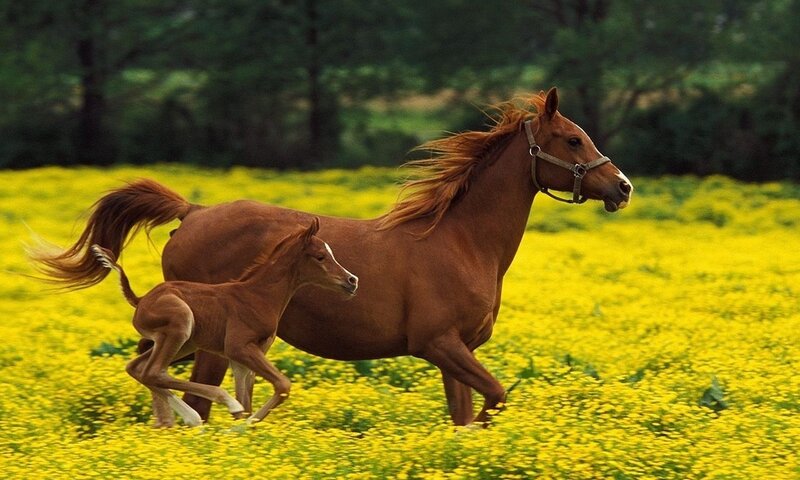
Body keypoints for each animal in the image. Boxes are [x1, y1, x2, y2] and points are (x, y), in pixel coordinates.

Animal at [90, 218, 358, 427]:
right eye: (320, 256)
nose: (352, 280)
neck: (258, 296)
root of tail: (141, 300)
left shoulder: (244, 356)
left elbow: (249, 400)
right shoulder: (238, 347)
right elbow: (282, 385)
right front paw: (241, 426)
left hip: (184, 342)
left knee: (139, 368)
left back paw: (189, 418)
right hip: (180, 324)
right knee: (154, 371)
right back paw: (216, 406)